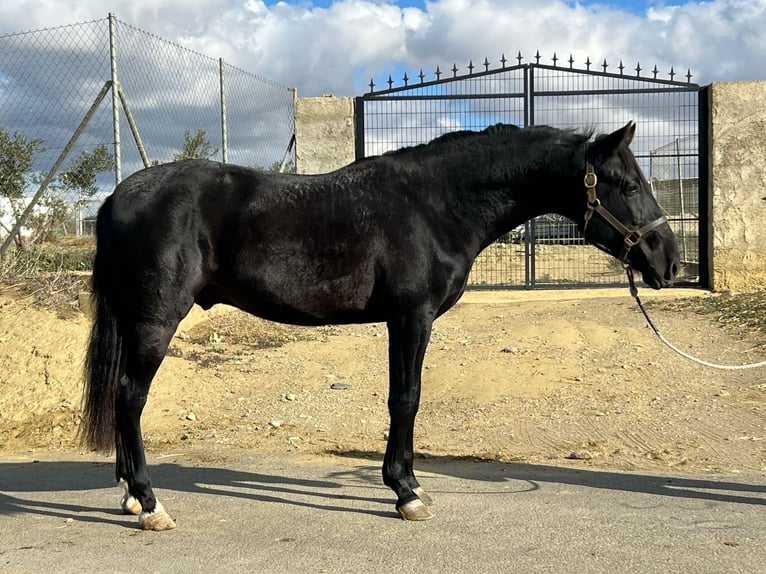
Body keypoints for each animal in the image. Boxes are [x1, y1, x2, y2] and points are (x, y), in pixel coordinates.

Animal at [81, 121, 680, 532]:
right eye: (627, 183)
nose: (669, 261)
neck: (436, 204)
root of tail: (116, 197)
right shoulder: (411, 317)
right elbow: (405, 399)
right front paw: (406, 491)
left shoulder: (402, 320)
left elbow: (402, 398)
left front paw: (406, 485)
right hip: (156, 319)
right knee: (130, 396)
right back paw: (150, 504)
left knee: (121, 395)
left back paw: (130, 496)